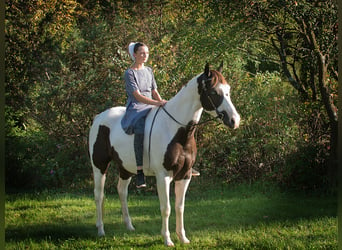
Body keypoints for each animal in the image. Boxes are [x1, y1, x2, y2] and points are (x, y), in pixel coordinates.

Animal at [88, 62, 240, 246]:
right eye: (214, 92)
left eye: (228, 90)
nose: (234, 120)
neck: (177, 130)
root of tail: (98, 118)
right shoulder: (163, 176)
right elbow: (166, 208)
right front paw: (167, 239)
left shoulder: (185, 175)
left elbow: (180, 207)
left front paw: (183, 237)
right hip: (99, 165)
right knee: (99, 194)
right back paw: (100, 229)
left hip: (126, 168)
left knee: (122, 191)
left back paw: (129, 226)